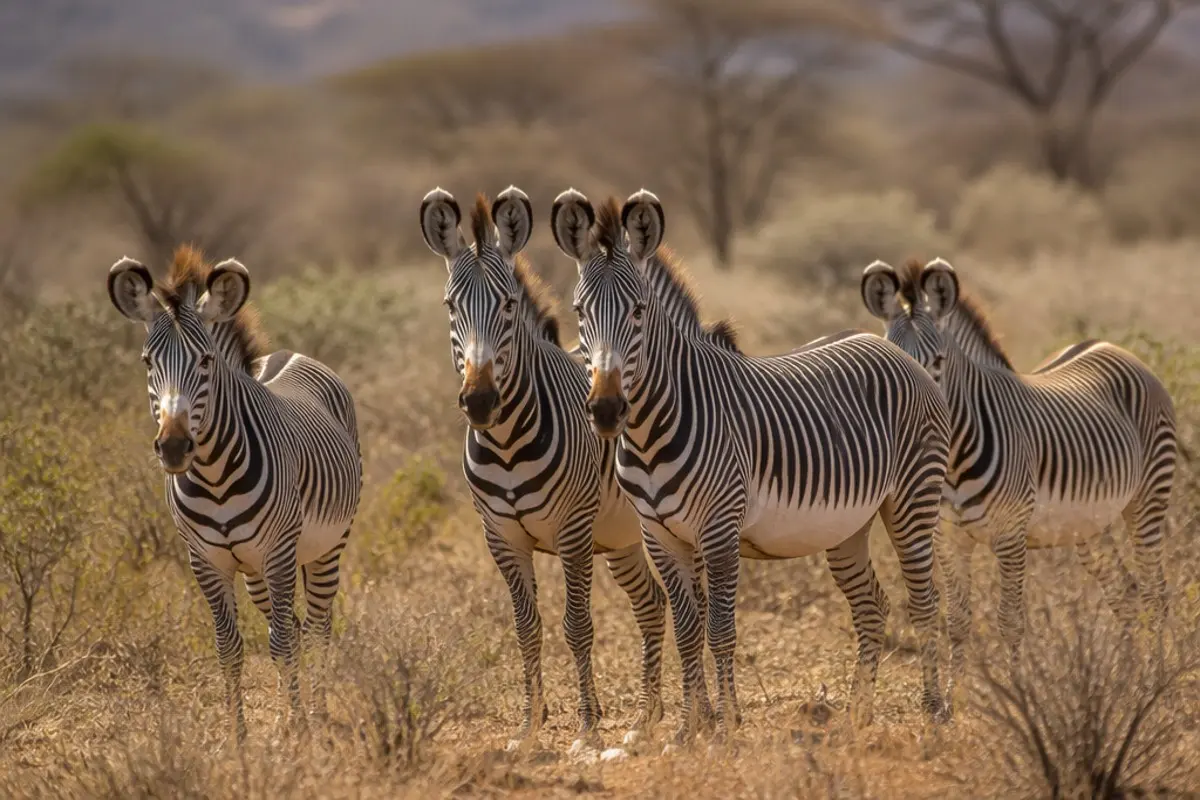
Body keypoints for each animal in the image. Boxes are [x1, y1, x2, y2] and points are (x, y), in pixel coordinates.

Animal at [107, 247, 363, 742]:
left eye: (206, 361)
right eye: (147, 362)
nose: (173, 447)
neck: (214, 477)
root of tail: (286, 353)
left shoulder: (279, 551)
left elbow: (282, 643)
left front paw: (297, 729)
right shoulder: (205, 560)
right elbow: (230, 647)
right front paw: (239, 736)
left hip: (326, 547)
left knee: (316, 626)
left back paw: (317, 710)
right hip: (255, 573)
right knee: (297, 626)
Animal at [420, 186, 727, 753]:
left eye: (508, 305)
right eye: (451, 306)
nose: (479, 402)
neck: (506, 442)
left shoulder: (573, 530)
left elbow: (577, 625)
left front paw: (585, 728)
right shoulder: (501, 537)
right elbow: (527, 629)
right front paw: (528, 727)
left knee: (692, 605)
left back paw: (704, 714)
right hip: (623, 539)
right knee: (653, 605)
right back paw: (645, 718)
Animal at [551, 188, 953, 744]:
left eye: (639, 311)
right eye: (579, 311)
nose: (606, 410)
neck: (651, 431)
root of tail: (891, 349)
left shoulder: (719, 529)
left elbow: (720, 630)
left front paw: (725, 728)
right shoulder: (659, 536)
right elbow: (687, 630)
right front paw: (687, 730)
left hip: (913, 500)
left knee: (925, 601)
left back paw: (933, 710)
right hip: (847, 526)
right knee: (873, 606)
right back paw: (858, 713)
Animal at [861, 258, 1176, 680]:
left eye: (939, 362)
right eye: (894, 360)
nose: (916, 414)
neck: (953, 461)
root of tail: (1114, 348)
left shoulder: (1011, 534)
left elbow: (1009, 621)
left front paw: (1016, 690)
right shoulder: (948, 539)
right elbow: (957, 621)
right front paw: (955, 696)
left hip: (1148, 500)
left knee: (1156, 592)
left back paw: (1158, 677)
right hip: (1090, 525)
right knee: (1125, 591)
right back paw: (1130, 676)